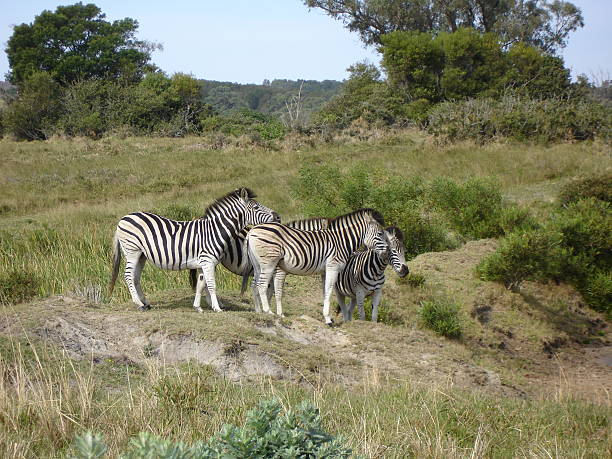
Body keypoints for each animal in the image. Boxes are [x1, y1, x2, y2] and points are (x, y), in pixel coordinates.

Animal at [109, 187, 280, 312]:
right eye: (256, 207)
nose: (277, 216)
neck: (214, 231)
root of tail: (124, 218)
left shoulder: (203, 263)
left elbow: (201, 285)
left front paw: (198, 307)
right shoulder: (208, 261)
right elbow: (211, 284)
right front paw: (217, 308)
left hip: (141, 255)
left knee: (136, 277)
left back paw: (145, 302)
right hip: (132, 251)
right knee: (128, 276)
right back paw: (138, 304)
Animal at [246, 210, 384, 326]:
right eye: (380, 234)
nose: (386, 252)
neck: (341, 242)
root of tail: (252, 231)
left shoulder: (324, 271)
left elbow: (325, 292)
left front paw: (326, 316)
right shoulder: (332, 267)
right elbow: (329, 291)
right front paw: (328, 320)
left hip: (258, 264)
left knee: (255, 284)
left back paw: (259, 311)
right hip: (269, 262)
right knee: (262, 285)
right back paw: (268, 311)